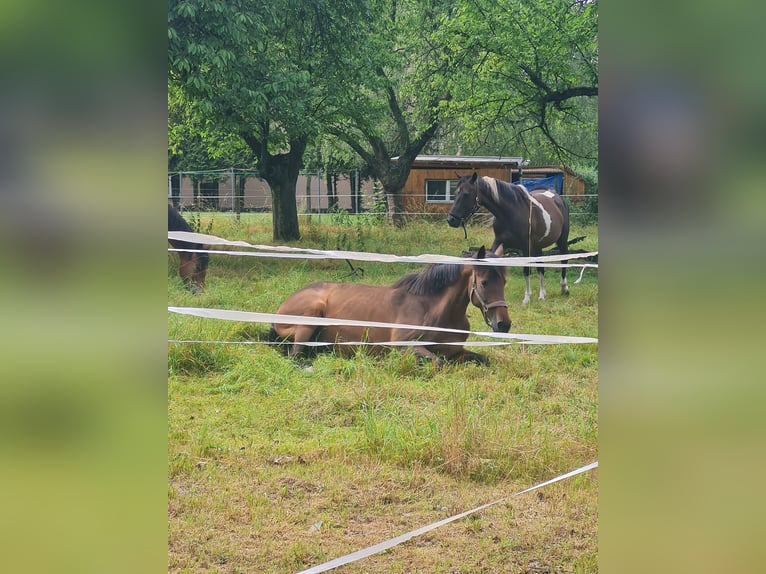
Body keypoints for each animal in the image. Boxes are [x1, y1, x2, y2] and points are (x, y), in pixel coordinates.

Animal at [270, 245, 510, 366]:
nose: (504, 324)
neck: (433, 309)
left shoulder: (455, 351)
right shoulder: (404, 345)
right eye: (484, 282)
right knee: (296, 356)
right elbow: (439, 363)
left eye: (504, 282)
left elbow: (483, 359)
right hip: (311, 314)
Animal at [448, 173, 572, 306]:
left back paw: (564, 288)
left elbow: (526, 271)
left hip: (562, 240)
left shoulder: (525, 247)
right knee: (541, 267)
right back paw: (542, 294)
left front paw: (526, 298)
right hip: (538, 247)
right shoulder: (499, 242)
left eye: (466, 194)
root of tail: (557, 198)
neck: (510, 213)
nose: (451, 220)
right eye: (456, 193)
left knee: (564, 260)